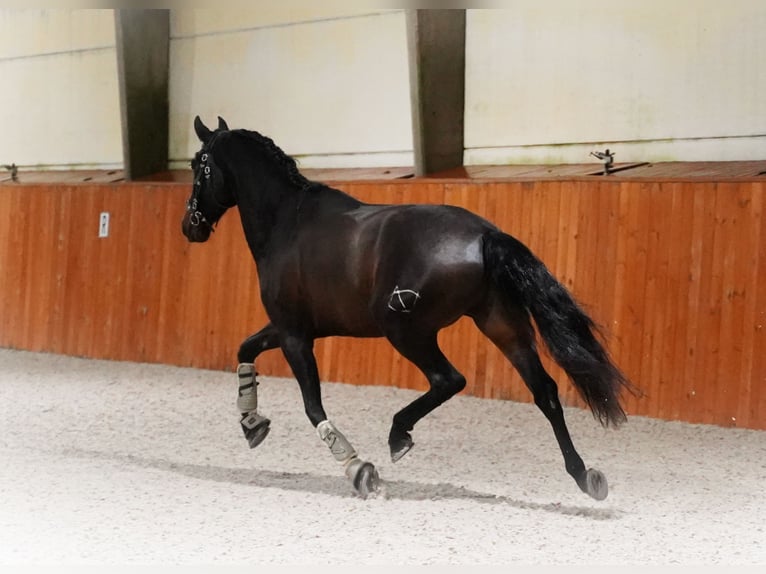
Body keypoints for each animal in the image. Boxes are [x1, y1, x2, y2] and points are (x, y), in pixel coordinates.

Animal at [182, 116, 636, 500]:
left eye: (196, 165)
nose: (190, 227)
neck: (287, 223)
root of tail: (485, 235)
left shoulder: (295, 335)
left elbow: (313, 407)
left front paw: (359, 469)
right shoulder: (292, 327)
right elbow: (245, 349)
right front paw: (252, 425)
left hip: (406, 330)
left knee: (449, 379)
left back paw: (398, 435)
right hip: (502, 325)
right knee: (545, 391)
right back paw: (584, 476)